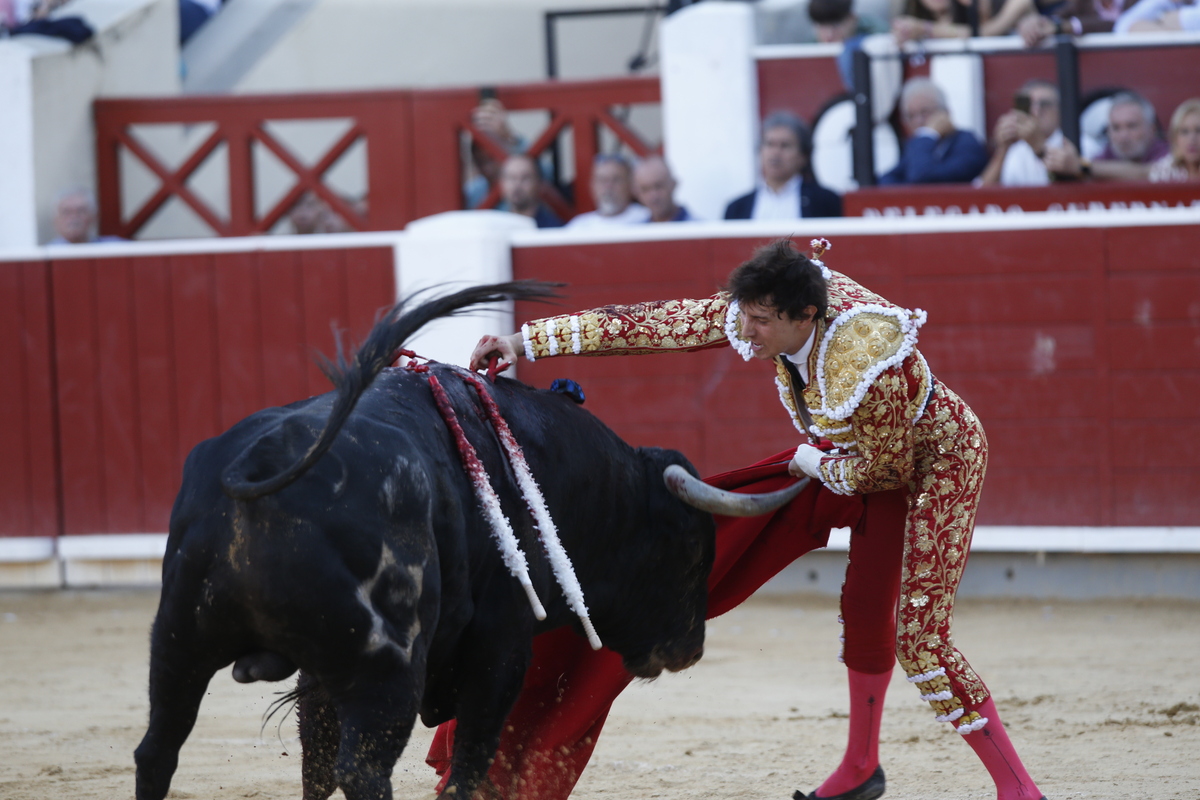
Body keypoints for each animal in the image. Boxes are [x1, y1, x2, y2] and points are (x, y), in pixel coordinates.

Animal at [133, 281, 806, 800]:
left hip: (177, 639)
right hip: (387, 666)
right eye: (692, 554)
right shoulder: (500, 645)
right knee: (365, 769)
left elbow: (313, 764)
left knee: (157, 751)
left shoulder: (323, 675)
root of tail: (264, 461)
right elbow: (469, 766)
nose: (688, 649)